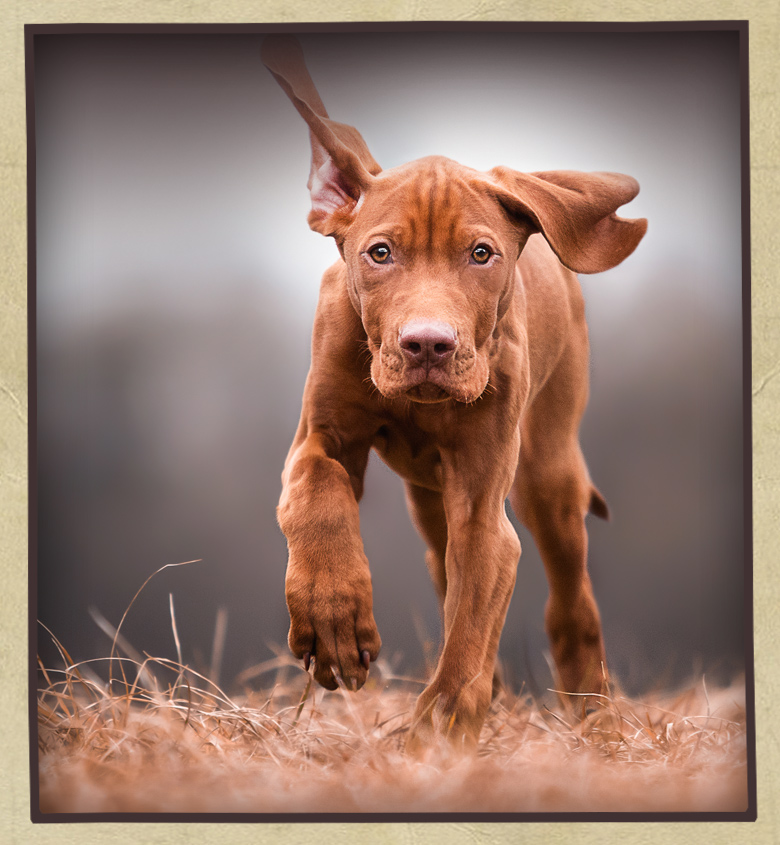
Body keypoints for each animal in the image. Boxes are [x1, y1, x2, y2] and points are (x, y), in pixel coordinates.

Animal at [262, 33, 644, 748]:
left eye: (481, 254)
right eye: (380, 253)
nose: (428, 346)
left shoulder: (484, 510)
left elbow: (471, 627)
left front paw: (436, 732)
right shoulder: (321, 436)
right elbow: (316, 491)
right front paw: (334, 618)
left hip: (548, 470)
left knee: (568, 598)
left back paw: (593, 713)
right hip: (428, 498)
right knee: (444, 569)